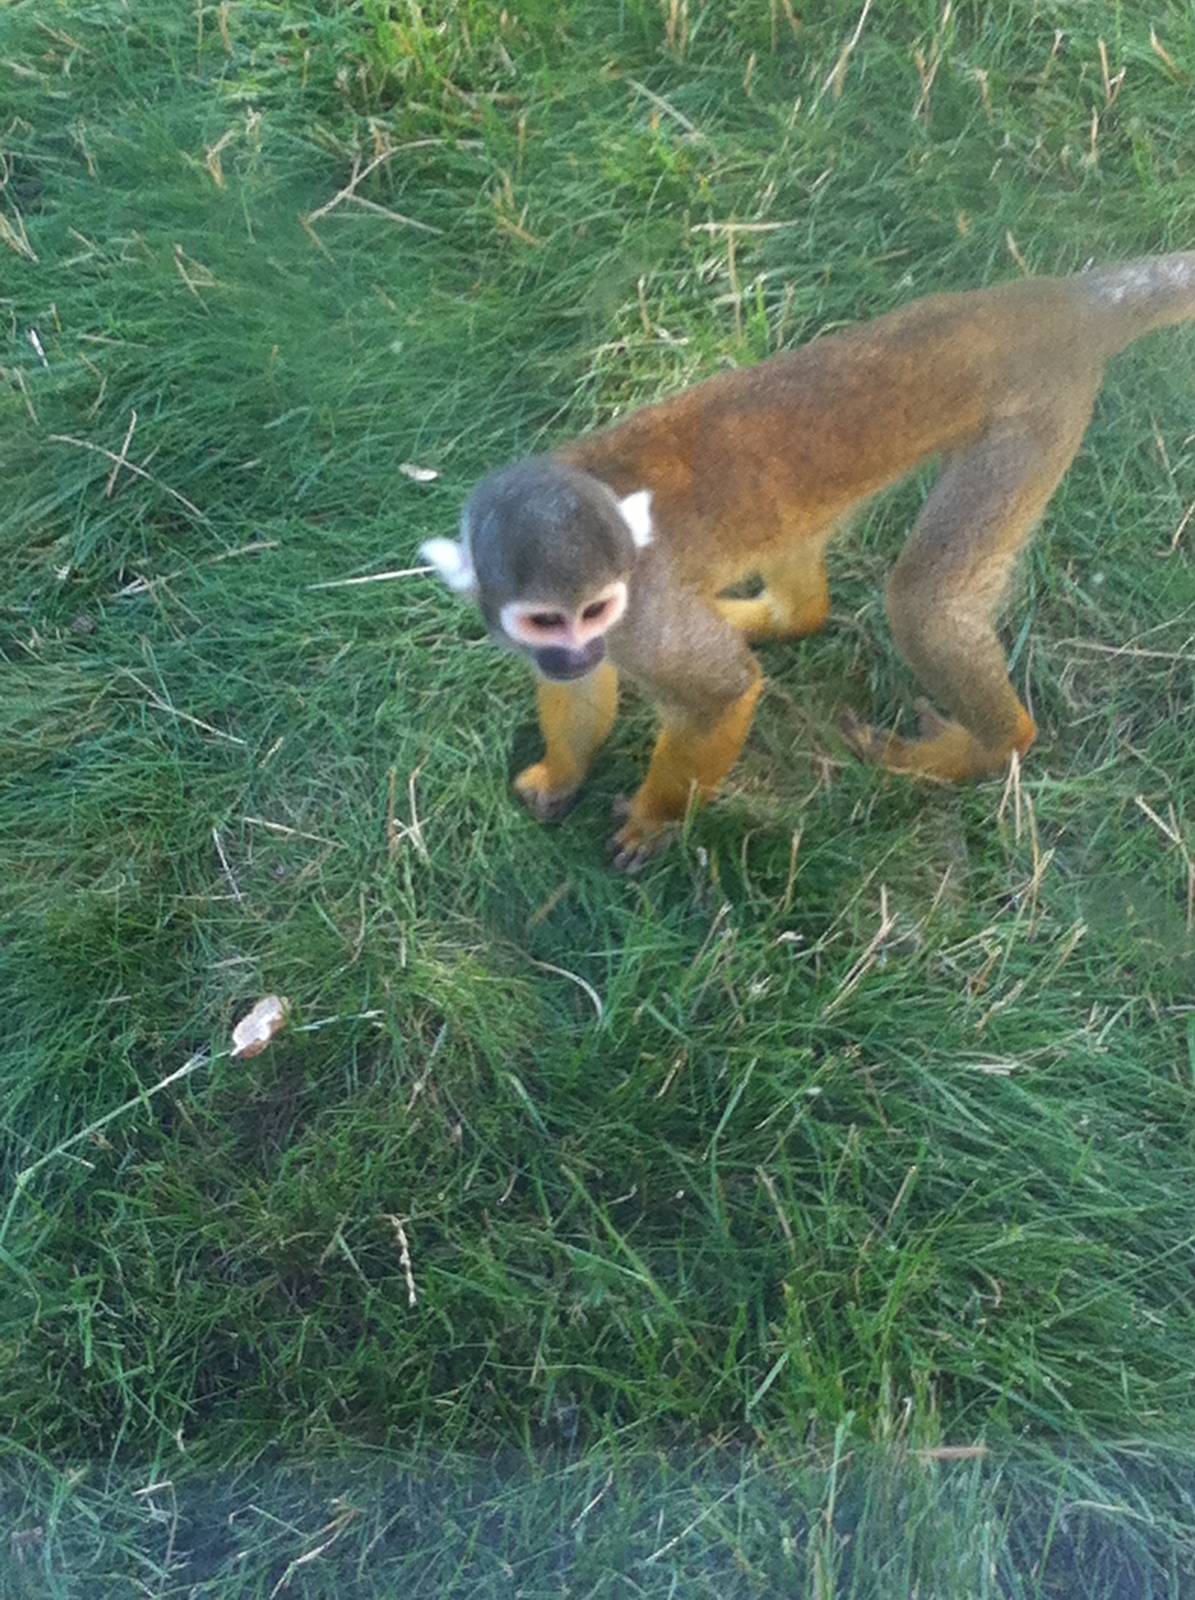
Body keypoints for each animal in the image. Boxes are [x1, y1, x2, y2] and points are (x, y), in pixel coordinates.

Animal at [422, 253, 1195, 871]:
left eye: (595, 610)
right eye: (546, 623)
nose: (575, 650)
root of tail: (1051, 301)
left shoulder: (641, 618)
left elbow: (724, 692)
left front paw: (655, 818)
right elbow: (585, 693)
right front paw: (562, 772)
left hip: (1028, 433)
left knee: (923, 599)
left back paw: (991, 744)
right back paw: (790, 617)